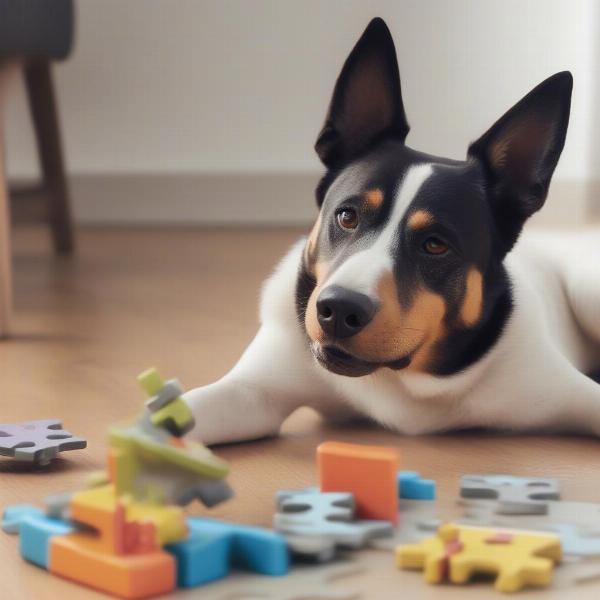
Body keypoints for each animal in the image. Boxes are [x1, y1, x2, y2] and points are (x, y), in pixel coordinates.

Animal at [183, 17, 600, 446]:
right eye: (347, 217)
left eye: (435, 245)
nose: (339, 310)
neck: (400, 378)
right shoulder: (252, 391)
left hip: (589, 290)